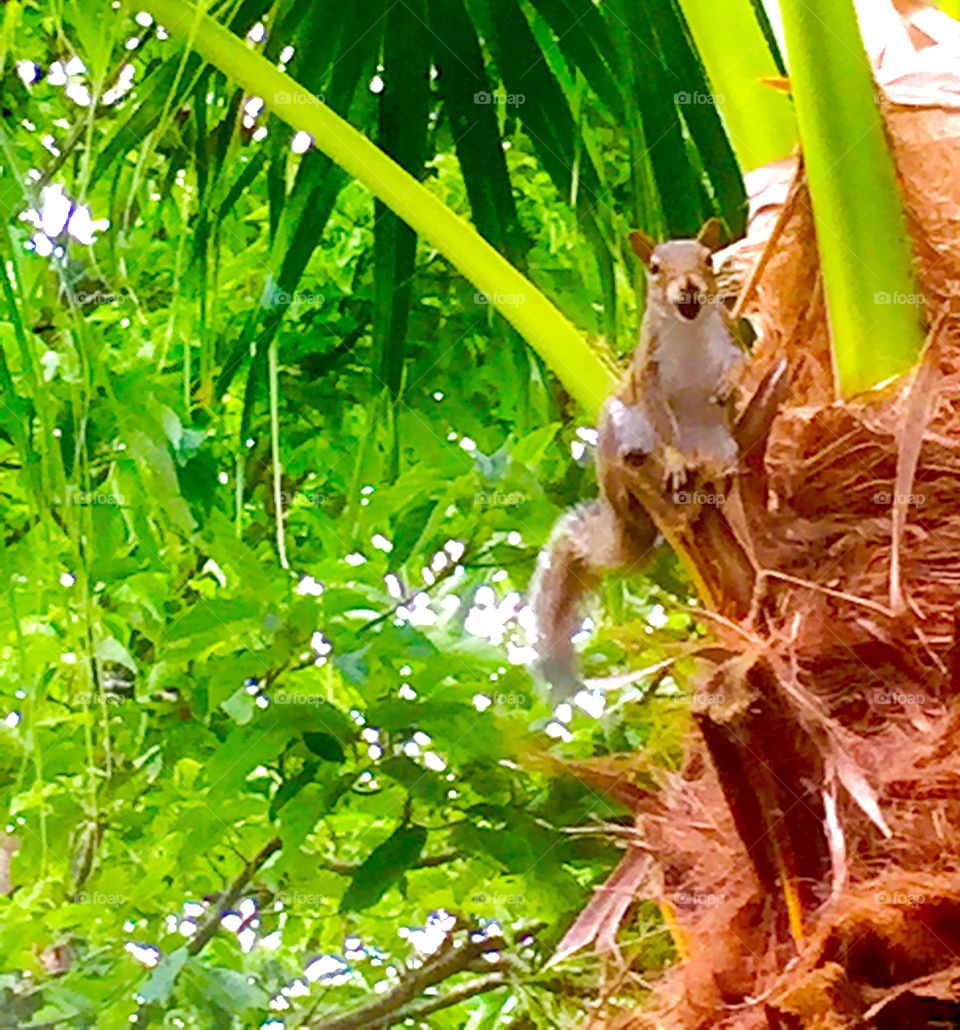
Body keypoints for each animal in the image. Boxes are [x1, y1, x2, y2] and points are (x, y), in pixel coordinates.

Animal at [527, 219, 745, 700]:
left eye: (708, 260)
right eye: (655, 268)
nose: (688, 289)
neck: (688, 331)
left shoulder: (730, 341)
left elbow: (741, 366)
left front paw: (729, 385)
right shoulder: (648, 371)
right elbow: (661, 418)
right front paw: (676, 460)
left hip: (719, 440)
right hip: (616, 427)